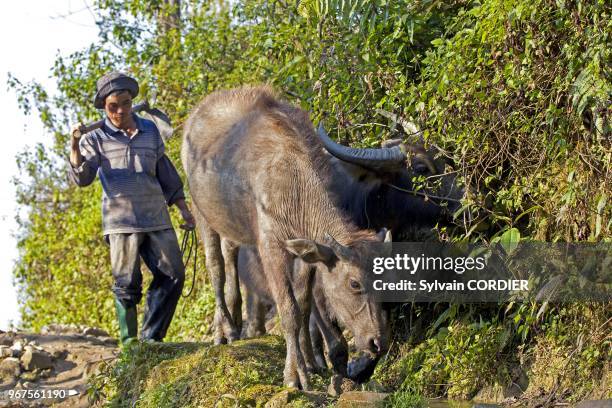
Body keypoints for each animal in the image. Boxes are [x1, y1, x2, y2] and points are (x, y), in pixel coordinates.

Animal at [180, 86, 392, 388]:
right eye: (354, 283)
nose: (378, 342)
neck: (293, 188)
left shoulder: (304, 254)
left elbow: (303, 306)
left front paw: (311, 365)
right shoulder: (271, 247)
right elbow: (288, 310)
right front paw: (295, 376)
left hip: (232, 224)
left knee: (231, 256)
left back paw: (236, 323)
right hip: (201, 214)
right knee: (215, 267)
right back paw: (223, 331)